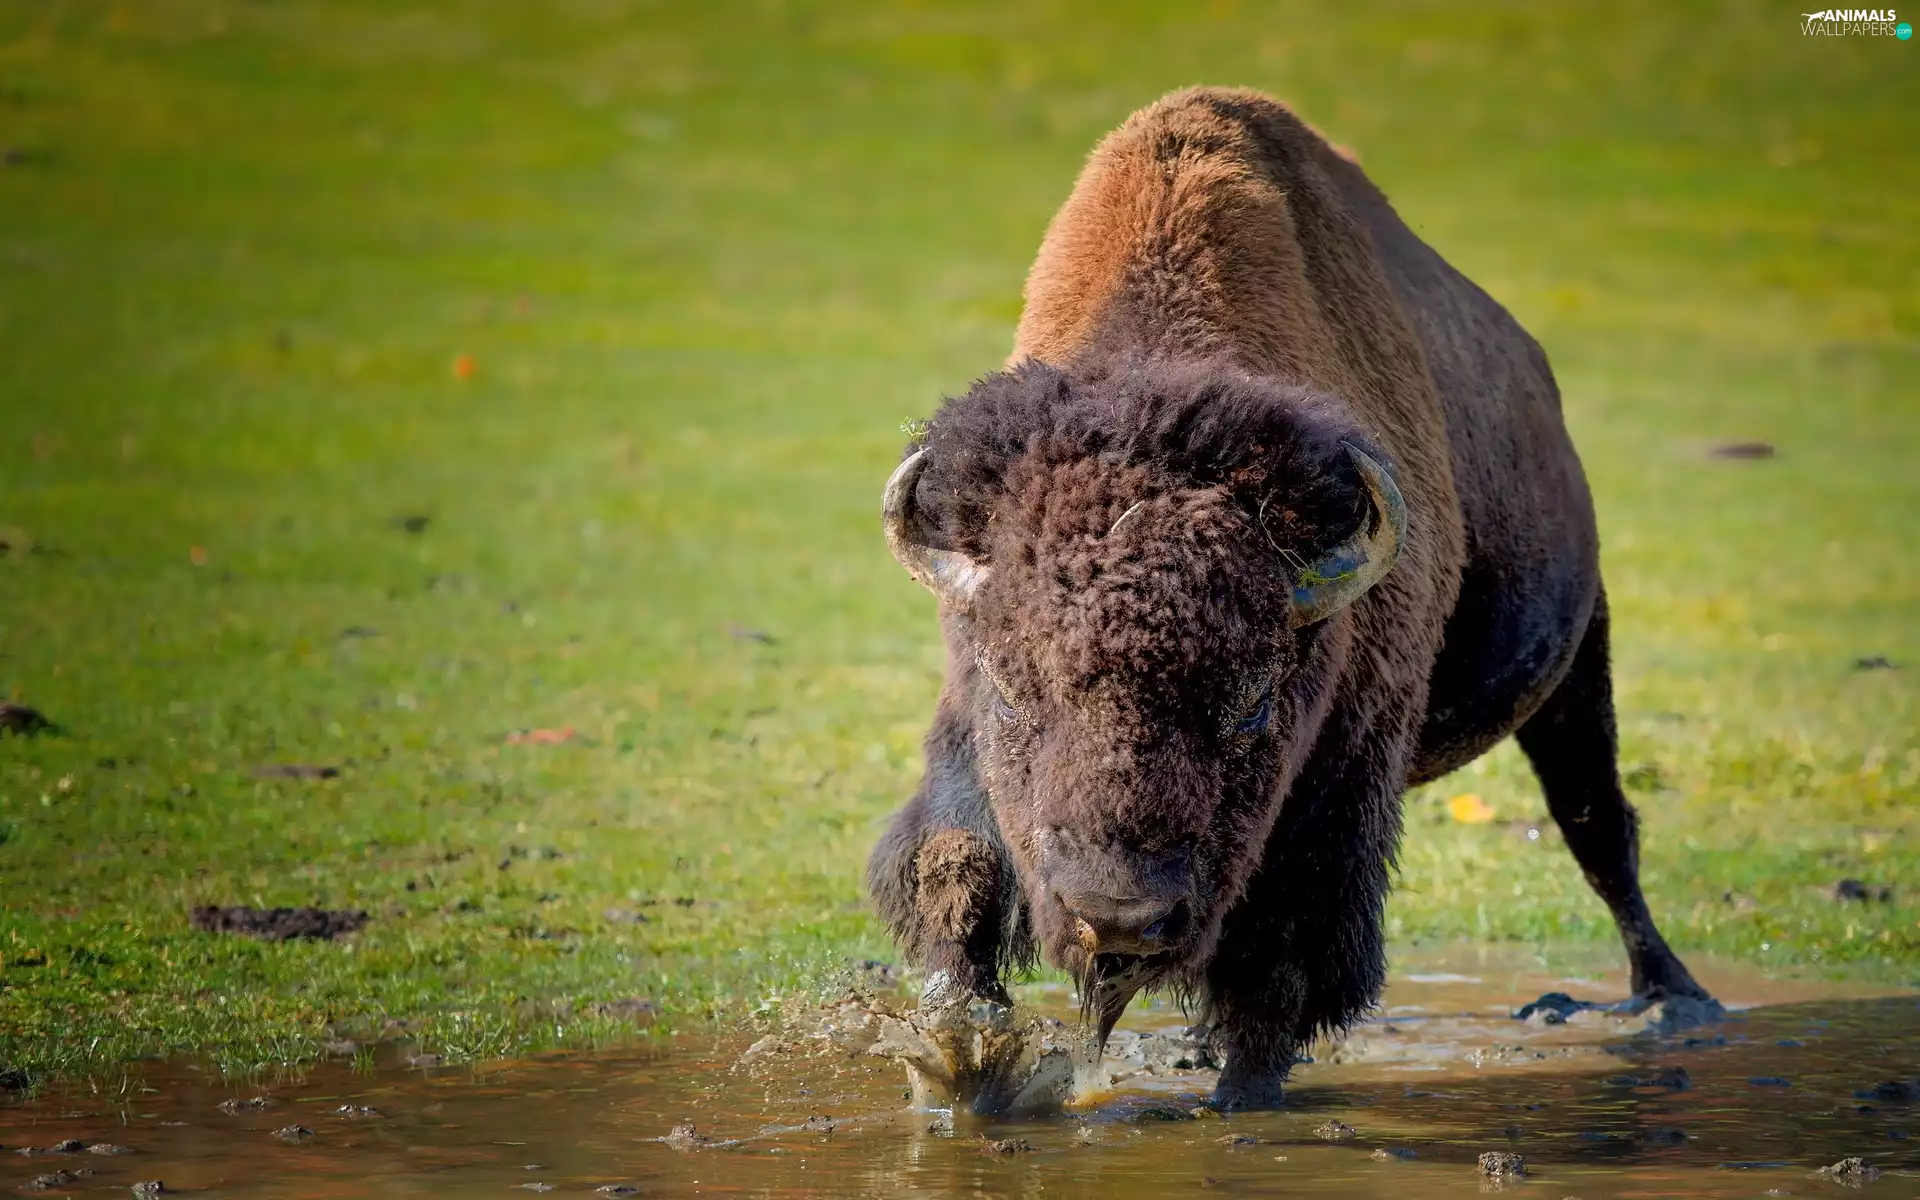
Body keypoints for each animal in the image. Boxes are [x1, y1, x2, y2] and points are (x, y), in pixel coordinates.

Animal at [868, 87, 1716, 1110]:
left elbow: (1282, 959)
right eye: (1010, 688)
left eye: (1253, 706)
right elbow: (954, 866)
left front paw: (1243, 1100)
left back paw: (1676, 998)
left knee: (1600, 828)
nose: (1120, 919)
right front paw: (958, 1067)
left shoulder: (1345, 774)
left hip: (1578, 664)